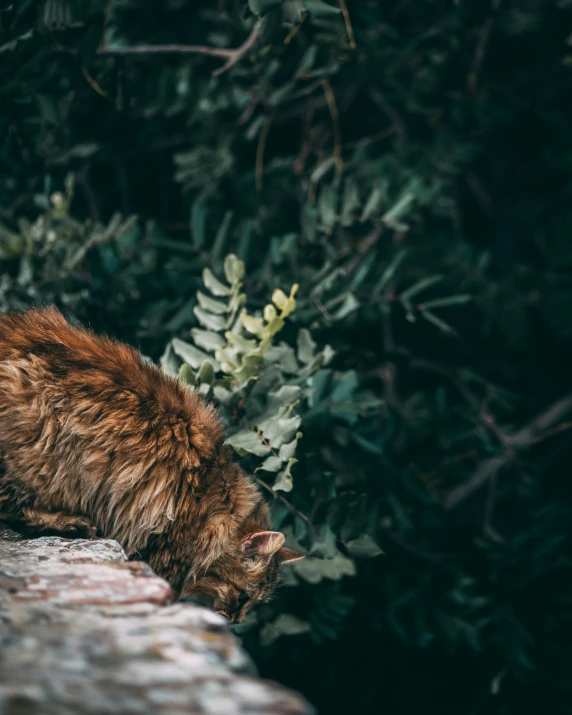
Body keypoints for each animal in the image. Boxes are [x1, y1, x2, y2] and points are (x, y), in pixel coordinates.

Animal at [0, 304, 304, 624]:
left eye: (254, 604)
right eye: (243, 596)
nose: (236, 621)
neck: (216, 494)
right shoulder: (163, 547)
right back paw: (72, 523)